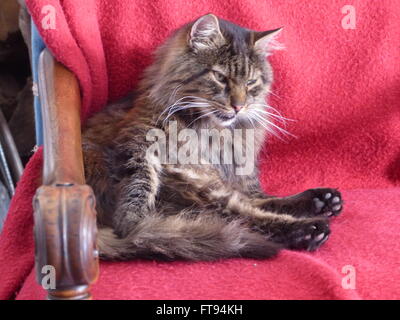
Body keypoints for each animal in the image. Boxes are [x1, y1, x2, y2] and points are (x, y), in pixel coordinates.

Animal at [82, 13, 344, 262]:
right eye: (220, 77)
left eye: (250, 82)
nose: (238, 106)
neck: (212, 130)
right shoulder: (138, 142)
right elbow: (139, 184)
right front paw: (134, 221)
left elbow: (257, 196)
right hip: (192, 189)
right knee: (243, 217)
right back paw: (310, 228)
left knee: (251, 206)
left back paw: (324, 201)